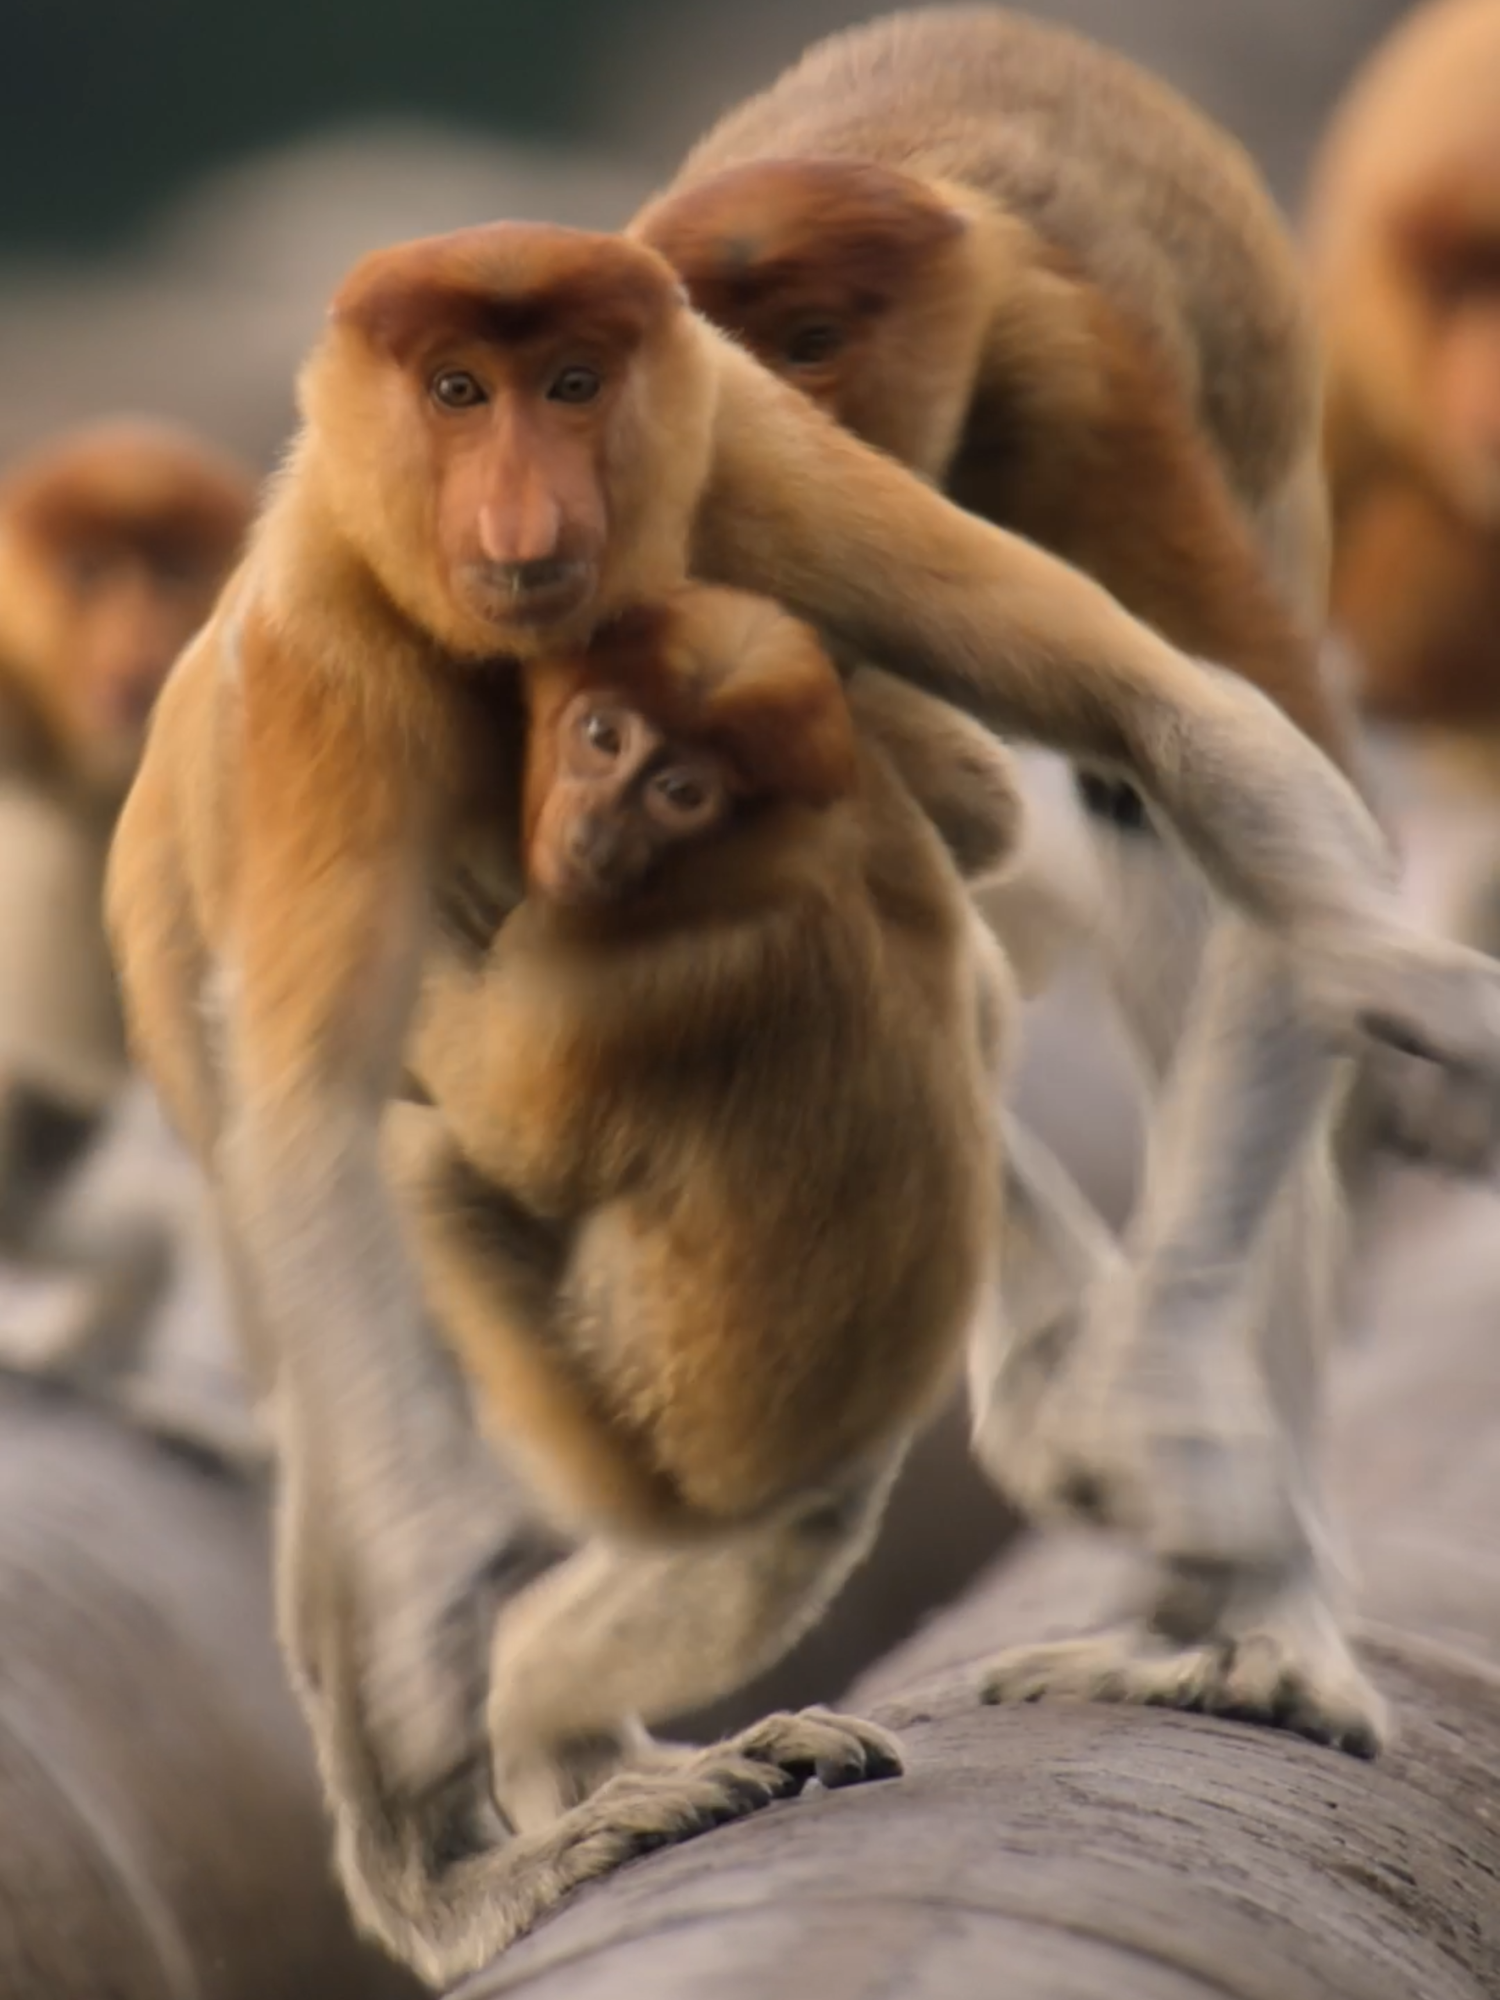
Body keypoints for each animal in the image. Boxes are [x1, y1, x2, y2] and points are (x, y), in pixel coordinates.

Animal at [108, 227, 1500, 1976]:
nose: (525, 515)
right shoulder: (325, 659)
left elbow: (1167, 716)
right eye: (458, 391)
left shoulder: (746, 453)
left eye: (575, 383)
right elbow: (315, 1130)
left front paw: (1414, 1001)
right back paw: (468, 1864)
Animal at [636, 0, 1424, 1752]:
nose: (771, 436)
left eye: (808, 337)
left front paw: (1149, 1430)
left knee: (1184, 878)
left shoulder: (1075, 386)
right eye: (713, 340)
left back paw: (1260, 1623)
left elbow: (1262, 783)